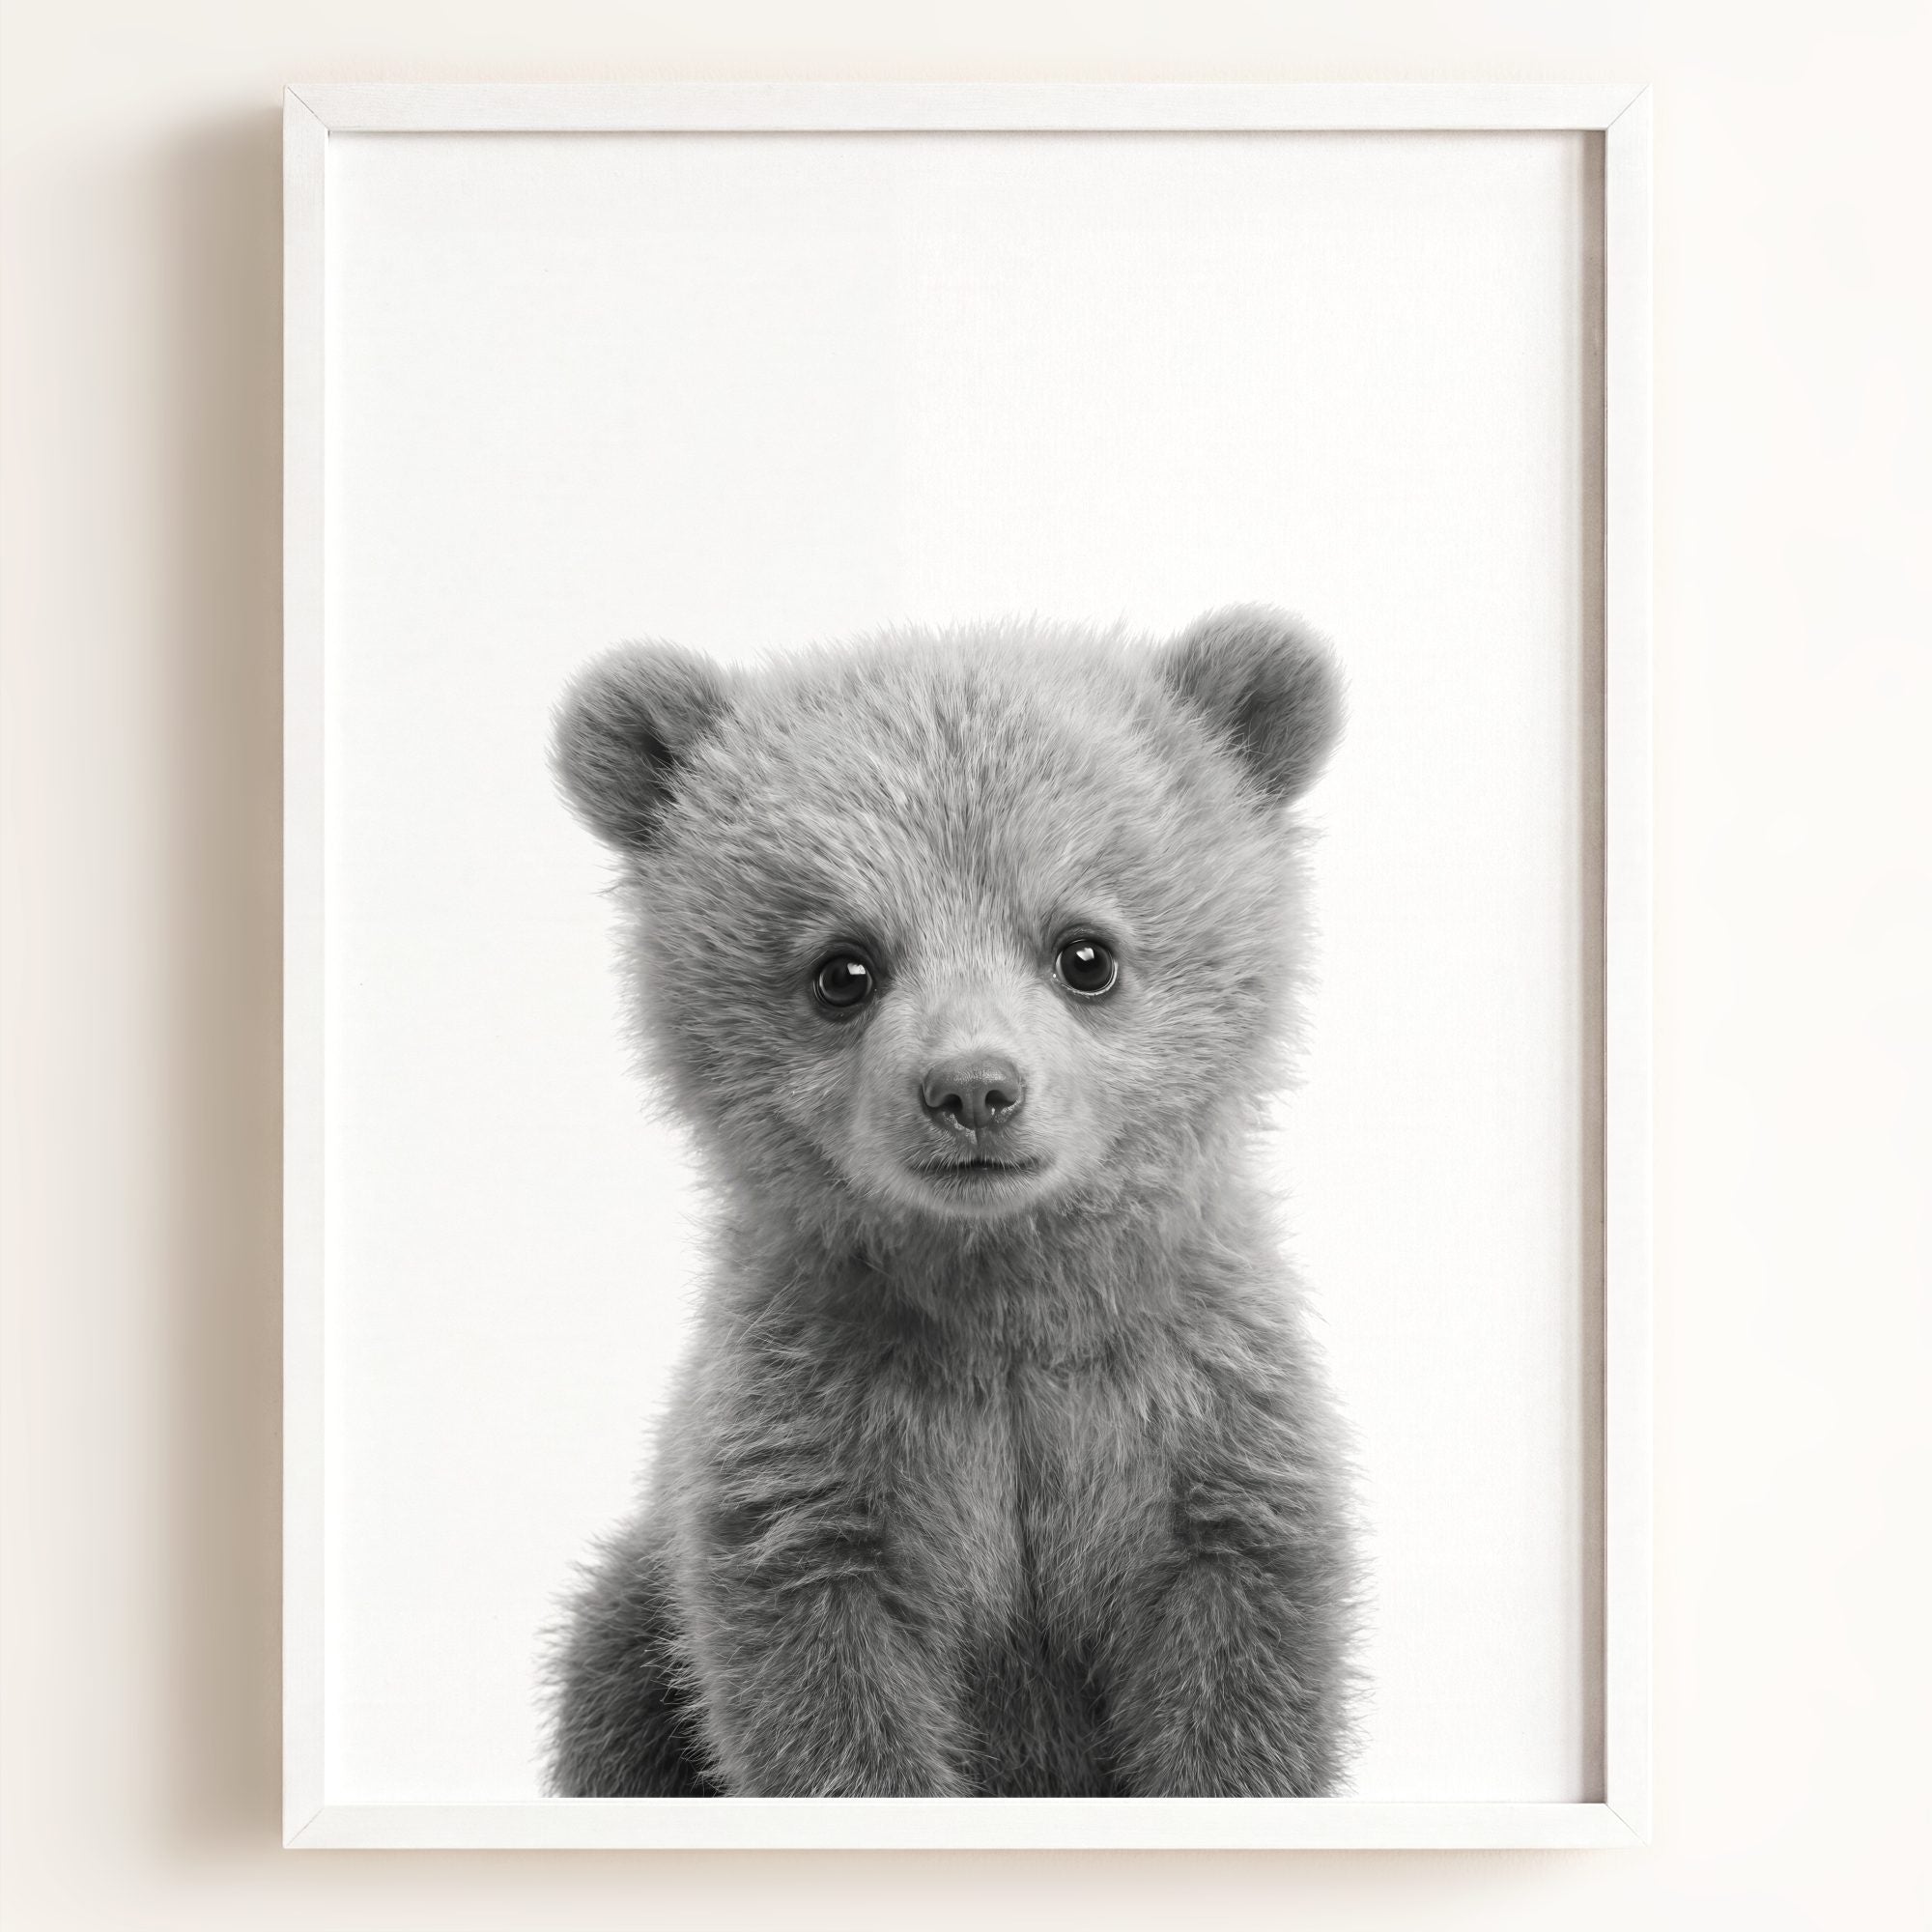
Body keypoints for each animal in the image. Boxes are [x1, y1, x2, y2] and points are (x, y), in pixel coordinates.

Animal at [544, 605, 1360, 1798]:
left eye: (1084, 952)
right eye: (842, 967)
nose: (973, 1088)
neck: (1002, 1301)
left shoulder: (1197, 1428)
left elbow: (1238, 1678)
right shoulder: (816, 1451)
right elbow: (823, 1697)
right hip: (633, 1630)